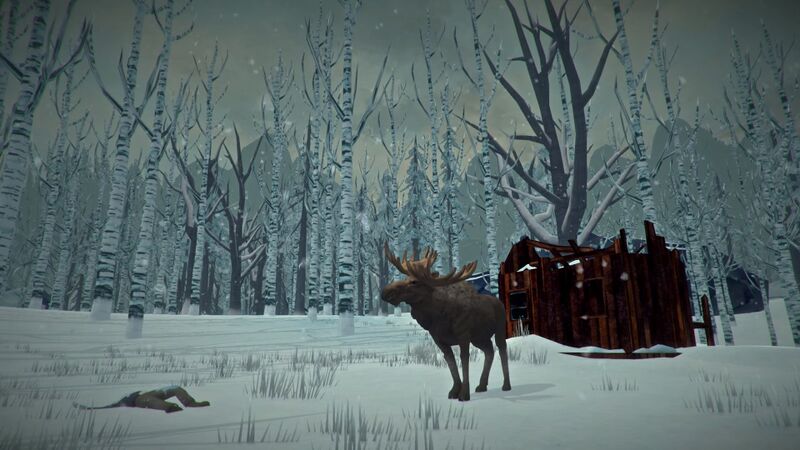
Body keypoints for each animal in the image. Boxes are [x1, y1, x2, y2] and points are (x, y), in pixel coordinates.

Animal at [381, 244, 511, 401]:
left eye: (414, 282)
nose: (385, 292)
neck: (436, 317)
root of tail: (499, 302)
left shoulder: (463, 336)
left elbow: (464, 360)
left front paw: (464, 394)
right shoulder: (439, 339)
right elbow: (451, 362)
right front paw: (454, 391)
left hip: (499, 329)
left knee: (502, 349)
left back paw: (506, 385)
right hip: (479, 338)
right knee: (489, 351)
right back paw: (481, 386)